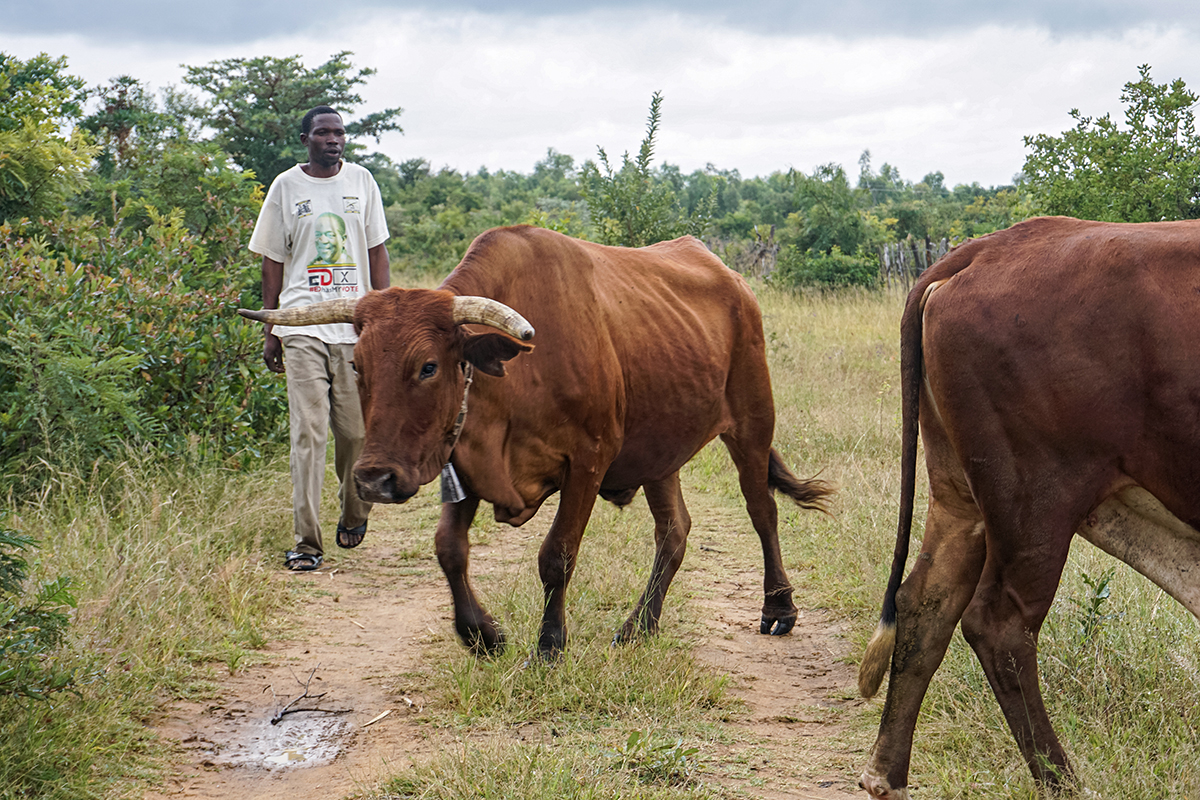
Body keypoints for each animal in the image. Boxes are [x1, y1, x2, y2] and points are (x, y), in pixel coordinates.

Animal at [238, 224, 830, 657]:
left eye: (428, 366)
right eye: (357, 365)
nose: (374, 479)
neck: (516, 377)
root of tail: (732, 279)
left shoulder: (588, 463)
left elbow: (557, 556)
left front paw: (549, 645)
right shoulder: (462, 462)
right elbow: (449, 549)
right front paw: (481, 634)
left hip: (752, 422)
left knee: (762, 511)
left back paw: (778, 609)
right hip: (660, 452)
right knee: (675, 533)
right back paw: (640, 626)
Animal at [859, 215, 1200, 796]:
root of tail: (987, 247)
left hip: (960, 494)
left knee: (925, 603)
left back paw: (887, 772)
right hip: (1035, 500)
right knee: (998, 626)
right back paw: (1062, 780)